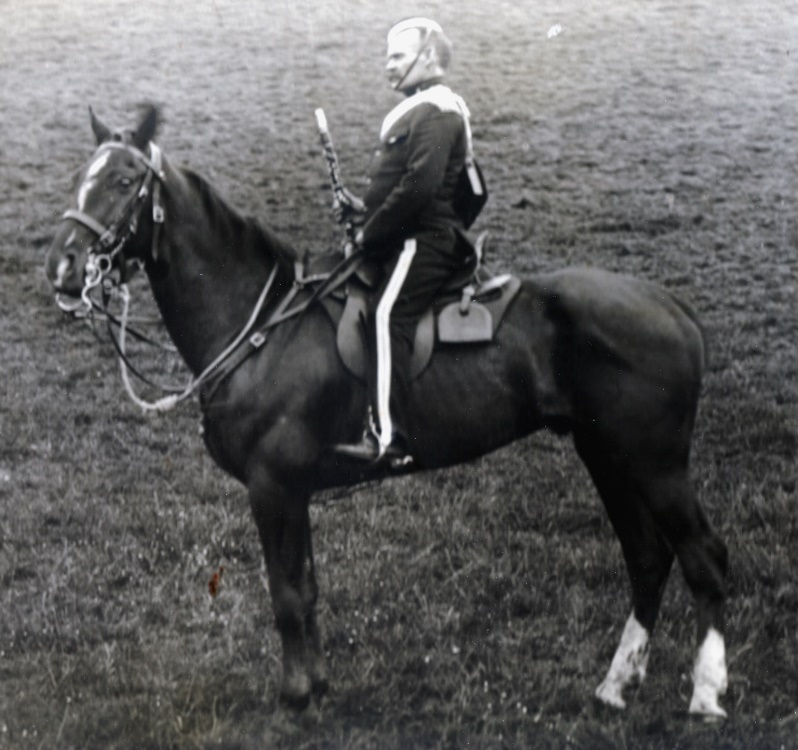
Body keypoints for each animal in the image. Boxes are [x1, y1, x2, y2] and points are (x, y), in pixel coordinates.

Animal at [45, 108, 732, 720]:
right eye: (82, 174)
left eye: (124, 181)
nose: (64, 267)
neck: (264, 326)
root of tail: (671, 305)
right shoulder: (294, 490)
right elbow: (308, 590)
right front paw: (317, 685)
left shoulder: (272, 487)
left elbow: (285, 595)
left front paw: (296, 697)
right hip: (607, 456)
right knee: (648, 559)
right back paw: (617, 685)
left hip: (654, 464)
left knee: (703, 556)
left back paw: (705, 694)